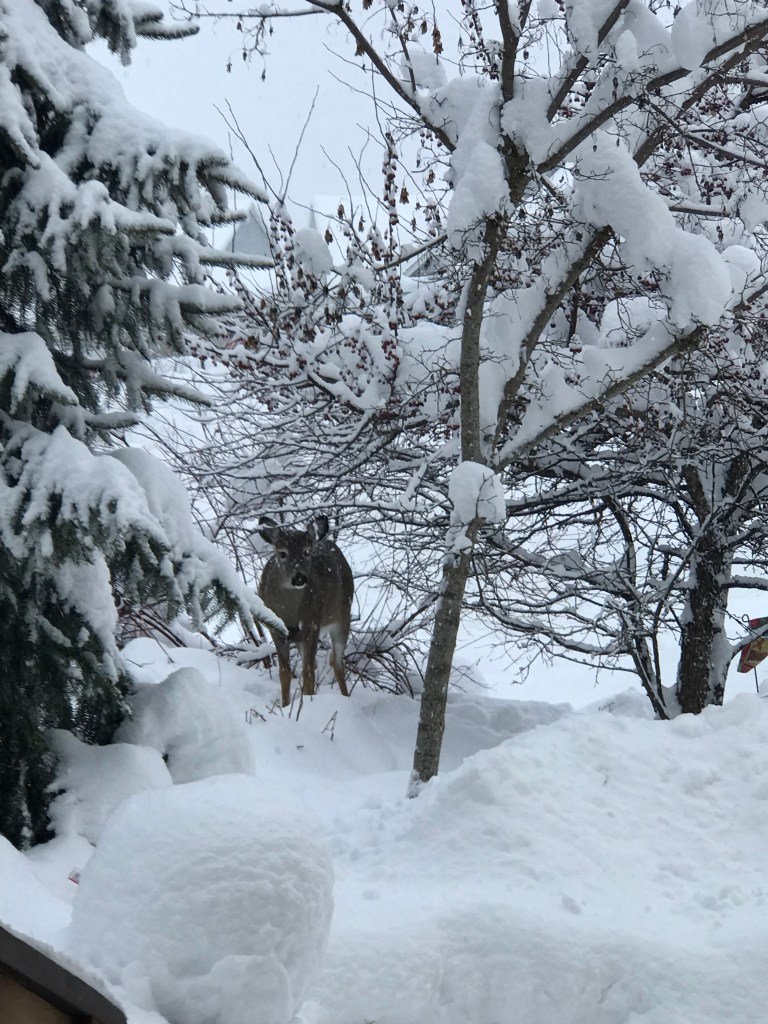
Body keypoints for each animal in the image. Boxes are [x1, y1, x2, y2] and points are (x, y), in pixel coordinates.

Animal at [258, 514, 354, 706]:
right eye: (282, 553)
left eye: (307, 552)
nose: (299, 578)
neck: (289, 613)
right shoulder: (275, 628)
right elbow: (285, 672)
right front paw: (285, 705)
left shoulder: (312, 623)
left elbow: (308, 672)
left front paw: (308, 703)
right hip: (302, 636)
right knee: (316, 663)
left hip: (343, 616)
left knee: (336, 662)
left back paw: (345, 697)